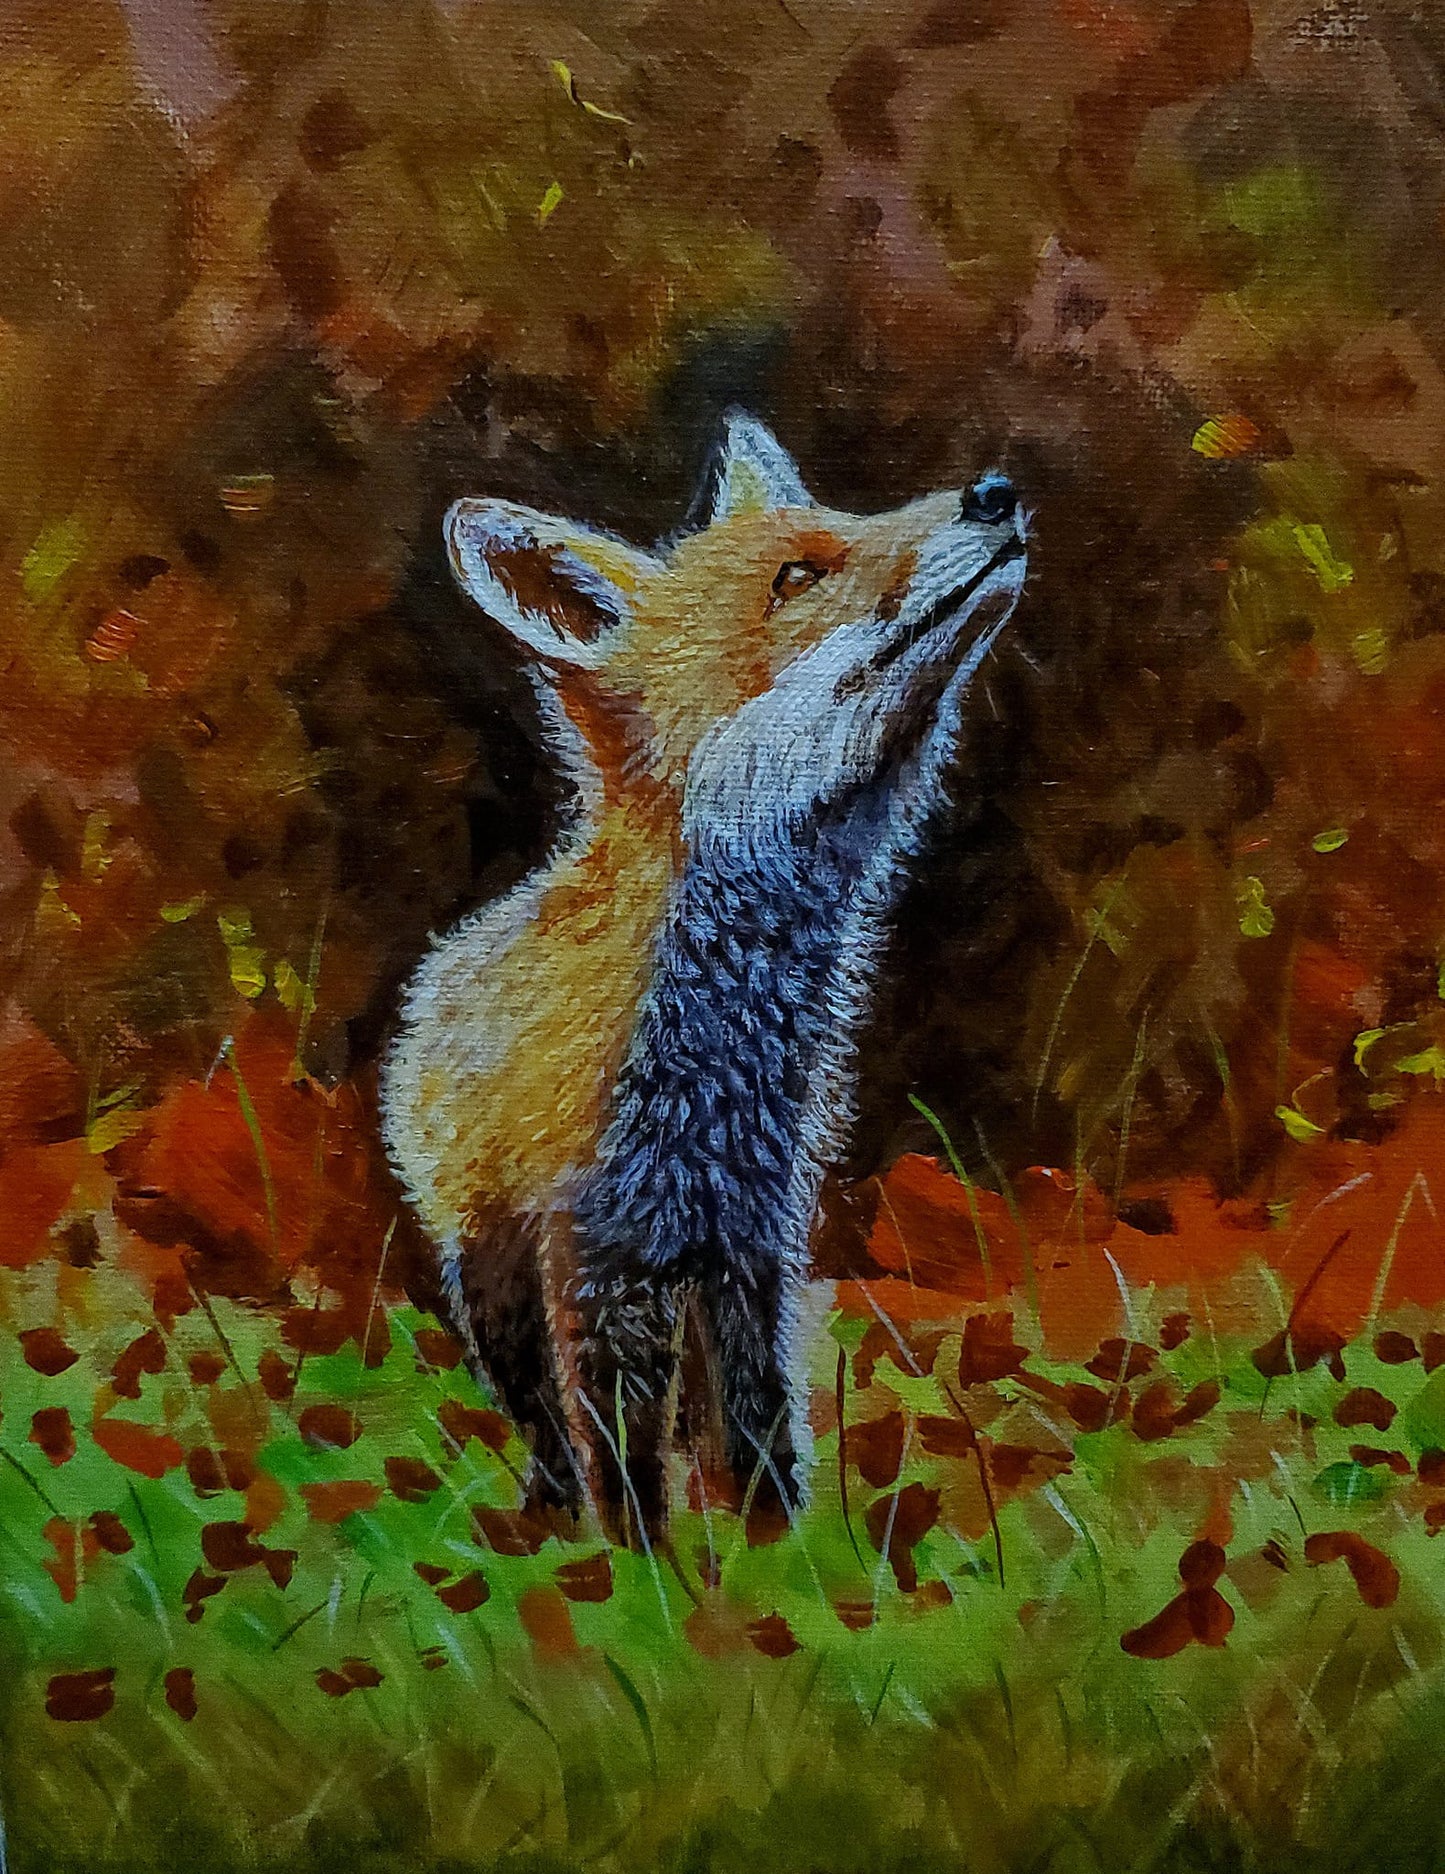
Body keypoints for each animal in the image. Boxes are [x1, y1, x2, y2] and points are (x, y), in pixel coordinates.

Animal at [381, 414, 1027, 1543]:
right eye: (795, 576)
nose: (994, 492)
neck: (714, 1073)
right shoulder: (596, 1258)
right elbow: (623, 1465)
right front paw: (643, 1574)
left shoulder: (750, 1240)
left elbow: (758, 1432)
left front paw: (779, 1554)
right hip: (492, 1269)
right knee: (541, 1421)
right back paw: (546, 1524)